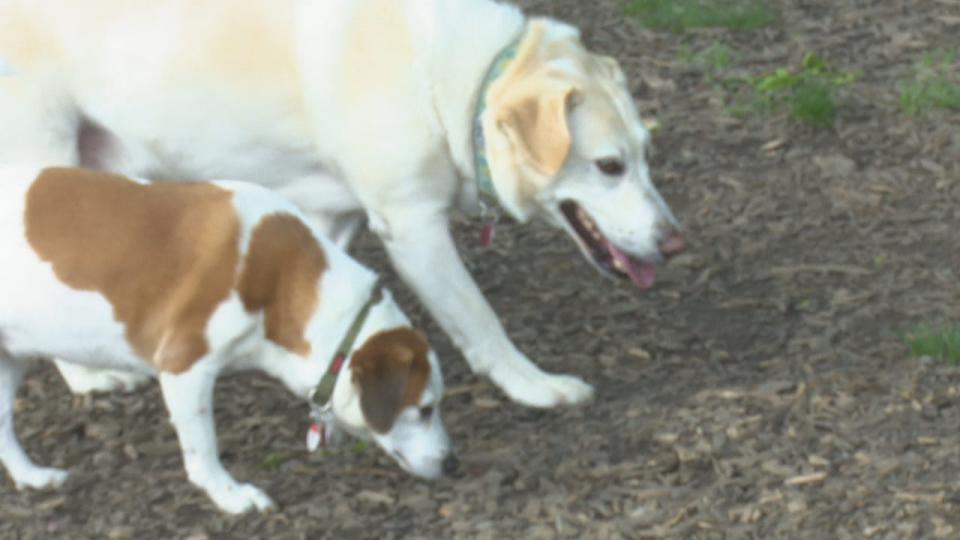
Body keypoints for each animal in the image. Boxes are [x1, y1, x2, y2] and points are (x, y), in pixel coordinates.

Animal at [0, 0, 688, 408]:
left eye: (647, 155)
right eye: (609, 166)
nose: (676, 243)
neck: (461, 84)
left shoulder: (335, 220)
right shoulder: (413, 228)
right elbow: (480, 321)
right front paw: (535, 386)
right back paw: (88, 378)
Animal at [0, 165, 454, 516]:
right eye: (425, 409)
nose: (453, 462)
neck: (283, 284)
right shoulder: (182, 367)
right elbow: (204, 448)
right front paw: (229, 496)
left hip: (10, 360)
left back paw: (31, 476)